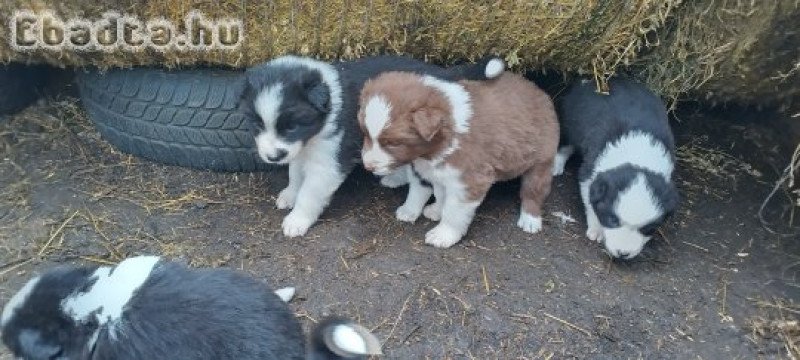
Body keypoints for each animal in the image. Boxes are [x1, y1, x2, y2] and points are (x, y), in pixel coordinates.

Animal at [244, 54, 506, 236]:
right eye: (257, 125)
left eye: (292, 127)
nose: (273, 156)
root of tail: (444, 73)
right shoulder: (301, 149)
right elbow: (295, 173)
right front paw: (289, 194)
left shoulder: (328, 163)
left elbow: (309, 194)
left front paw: (297, 220)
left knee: (422, 184)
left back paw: (409, 209)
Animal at [360, 72, 560, 249]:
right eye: (365, 134)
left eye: (393, 143)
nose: (368, 167)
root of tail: (539, 91)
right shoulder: (439, 172)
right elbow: (440, 194)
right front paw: (436, 210)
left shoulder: (468, 181)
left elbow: (453, 211)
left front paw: (443, 235)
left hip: (541, 161)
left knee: (533, 191)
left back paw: (530, 220)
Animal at [552, 78, 680, 258]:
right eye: (613, 220)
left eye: (648, 228)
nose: (623, 253)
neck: (637, 156)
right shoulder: (589, 173)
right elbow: (591, 203)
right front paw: (597, 230)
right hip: (569, 120)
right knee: (565, 144)